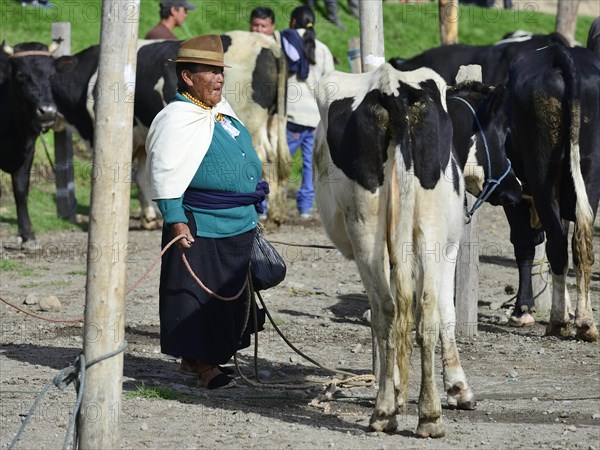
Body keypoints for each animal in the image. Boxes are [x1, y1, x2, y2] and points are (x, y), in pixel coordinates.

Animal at [0, 41, 58, 244]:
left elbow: (21, 189)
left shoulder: (28, 150)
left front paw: (27, 234)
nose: (47, 111)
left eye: (52, 75)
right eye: (21, 75)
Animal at [50, 30, 288, 229]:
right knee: (275, 158)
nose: (46, 112)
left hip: (253, 124)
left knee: (265, 159)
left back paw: (270, 216)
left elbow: (129, 174)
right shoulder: (144, 139)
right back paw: (276, 215)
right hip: (273, 121)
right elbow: (144, 176)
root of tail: (268, 44)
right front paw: (150, 216)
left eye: (42, 75)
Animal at [314, 63, 520, 436]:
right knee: (418, 312)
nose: (516, 187)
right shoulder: (450, 247)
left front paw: (397, 390)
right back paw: (421, 413)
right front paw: (457, 388)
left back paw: (395, 412)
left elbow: (402, 312)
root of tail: (392, 89)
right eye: (501, 135)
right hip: (424, 234)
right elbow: (447, 313)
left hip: (370, 229)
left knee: (390, 310)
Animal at [504, 44, 596, 342]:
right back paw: (586, 323)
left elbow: (524, 243)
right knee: (581, 245)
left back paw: (558, 322)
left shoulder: (513, 196)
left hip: (541, 172)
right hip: (589, 172)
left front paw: (524, 310)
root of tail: (558, 54)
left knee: (556, 245)